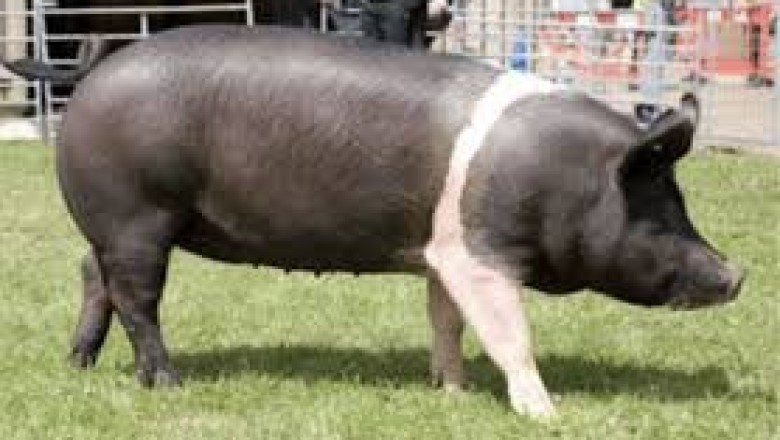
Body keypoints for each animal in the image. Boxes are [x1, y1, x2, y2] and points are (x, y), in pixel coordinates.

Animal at [4, 25, 743, 417]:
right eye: (660, 209)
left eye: (679, 202)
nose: (736, 274)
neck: (561, 176)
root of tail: (96, 67)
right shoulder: (481, 251)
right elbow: (510, 334)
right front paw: (544, 413)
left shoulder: (443, 251)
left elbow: (446, 322)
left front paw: (452, 392)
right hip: (138, 215)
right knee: (136, 296)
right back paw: (166, 382)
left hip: (114, 225)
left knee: (92, 274)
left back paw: (79, 365)